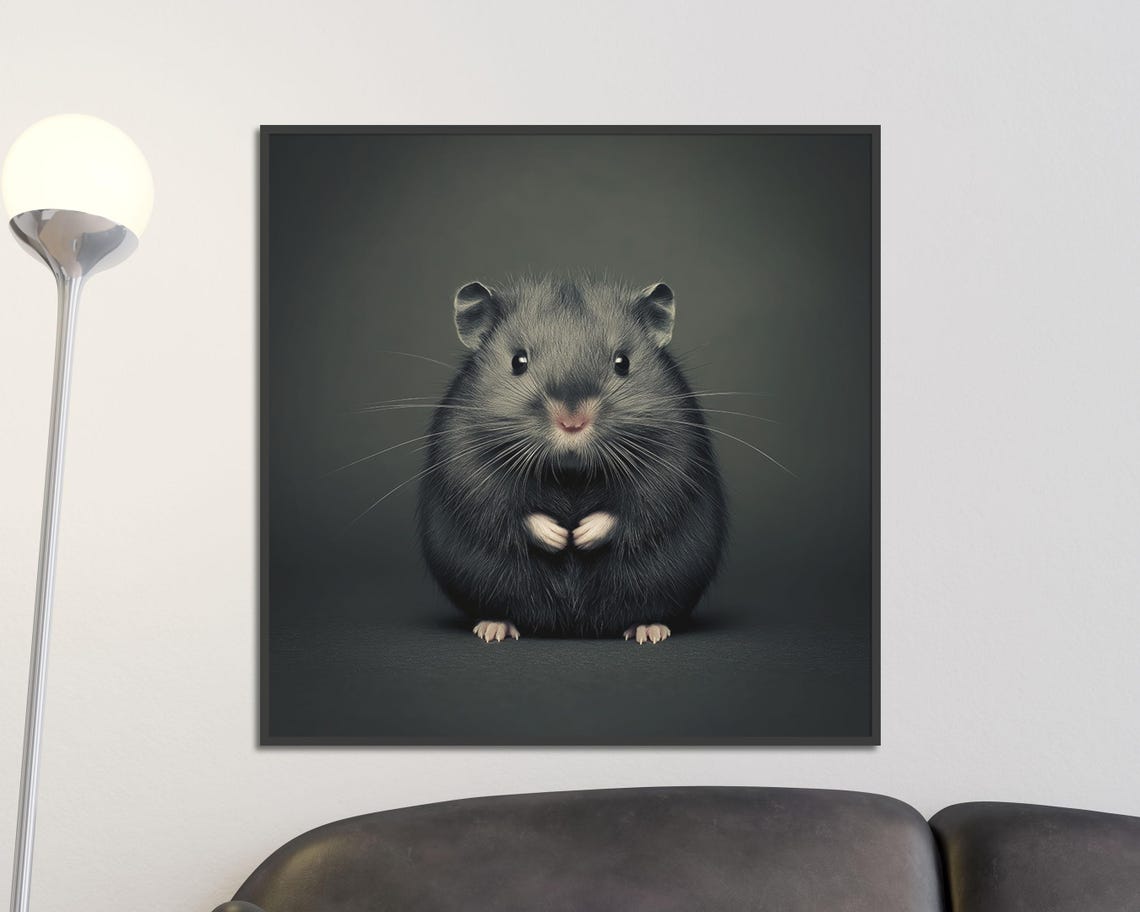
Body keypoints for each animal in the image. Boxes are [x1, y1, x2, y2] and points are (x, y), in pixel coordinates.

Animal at [417, 275, 727, 642]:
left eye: (622, 362)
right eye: (518, 362)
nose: (572, 422)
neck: (570, 473)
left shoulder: (673, 459)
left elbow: (637, 507)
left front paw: (580, 535)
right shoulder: (466, 462)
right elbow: (504, 508)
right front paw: (558, 536)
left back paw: (649, 630)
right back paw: (493, 628)